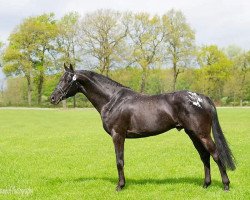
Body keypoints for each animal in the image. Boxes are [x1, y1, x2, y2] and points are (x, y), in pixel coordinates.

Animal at [49, 64, 235, 191]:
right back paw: (206, 185)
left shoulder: (118, 135)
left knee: (215, 154)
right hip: (193, 134)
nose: (52, 98)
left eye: (67, 80)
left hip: (202, 134)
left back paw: (225, 185)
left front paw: (120, 186)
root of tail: (202, 98)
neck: (112, 100)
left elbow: (119, 161)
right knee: (204, 156)